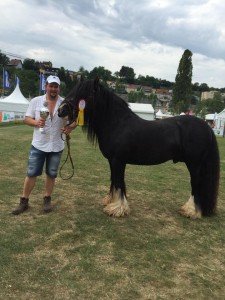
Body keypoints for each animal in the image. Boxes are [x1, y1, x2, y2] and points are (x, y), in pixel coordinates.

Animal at [58, 77, 220, 218]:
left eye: (85, 93)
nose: (61, 110)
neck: (117, 124)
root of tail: (206, 126)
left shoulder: (118, 161)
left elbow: (119, 182)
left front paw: (117, 209)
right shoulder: (112, 161)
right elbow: (114, 180)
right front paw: (111, 202)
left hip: (194, 164)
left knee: (196, 184)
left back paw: (190, 211)